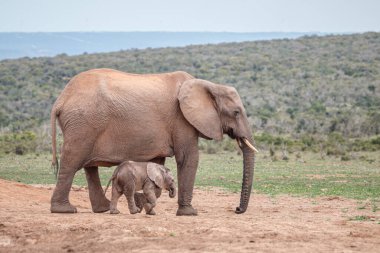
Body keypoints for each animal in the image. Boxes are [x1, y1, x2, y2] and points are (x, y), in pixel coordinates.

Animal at [50, 68, 256, 215]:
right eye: (236, 112)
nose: (237, 209)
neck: (209, 85)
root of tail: (60, 100)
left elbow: (157, 163)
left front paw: (144, 206)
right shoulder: (181, 119)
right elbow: (188, 158)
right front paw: (189, 213)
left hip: (85, 124)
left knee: (89, 167)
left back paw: (103, 209)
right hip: (82, 123)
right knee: (72, 161)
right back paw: (64, 210)